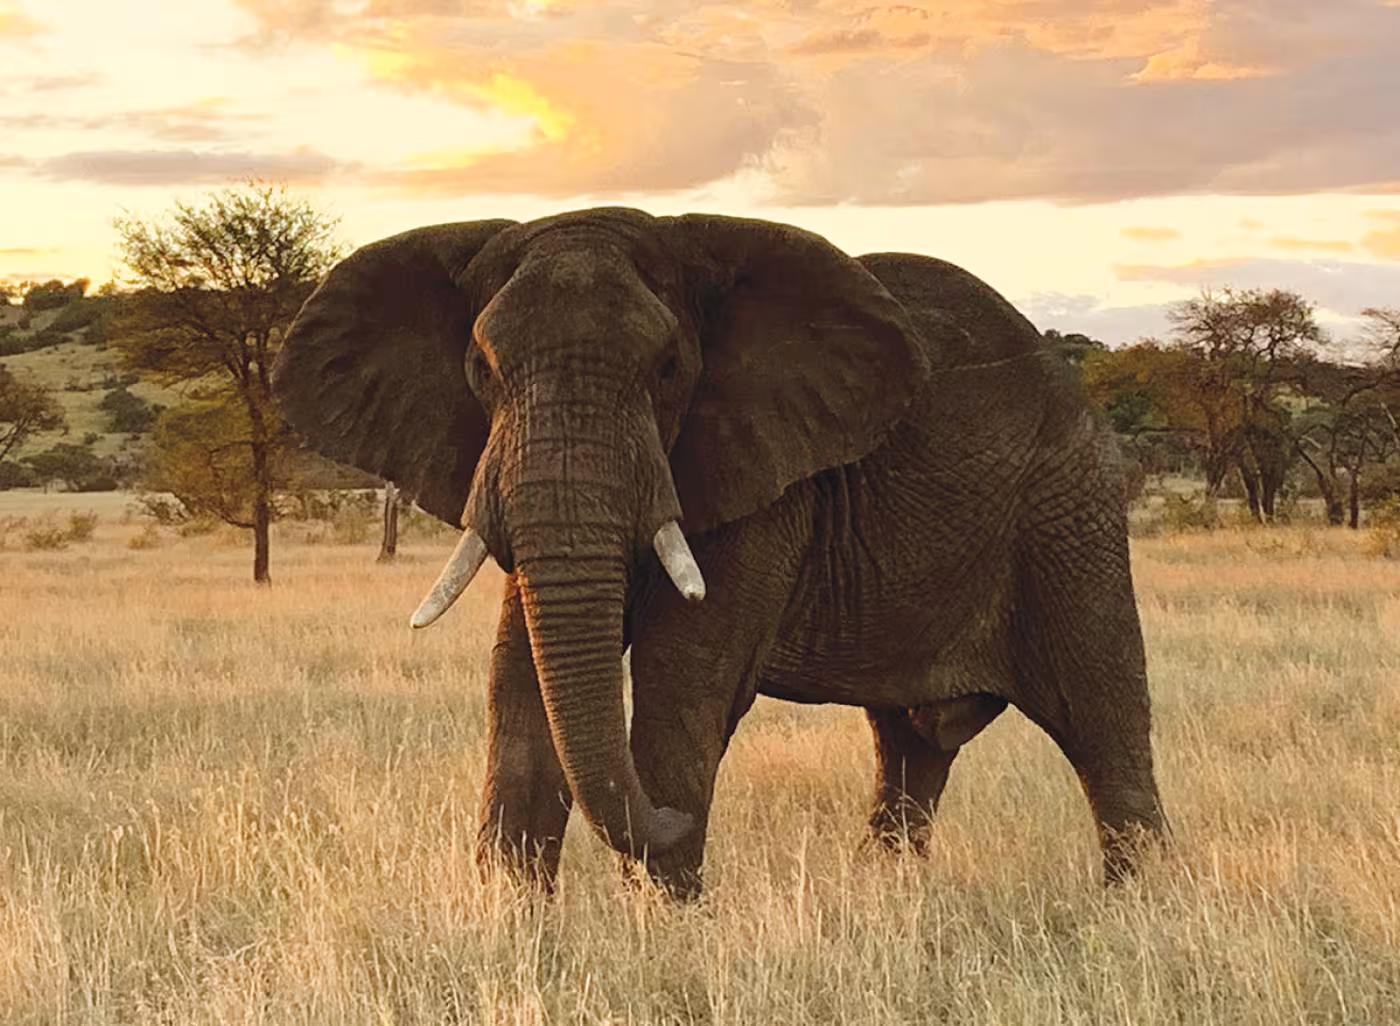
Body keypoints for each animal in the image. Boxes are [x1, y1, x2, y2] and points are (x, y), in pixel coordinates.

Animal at [271, 207, 1166, 897]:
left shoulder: (764, 478)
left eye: (670, 369)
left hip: (1069, 511)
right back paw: (889, 895)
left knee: (1103, 718)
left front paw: (662, 932)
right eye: (483, 370)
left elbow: (683, 690)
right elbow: (517, 686)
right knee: (913, 748)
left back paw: (1138, 911)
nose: (675, 822)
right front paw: (514, 923)